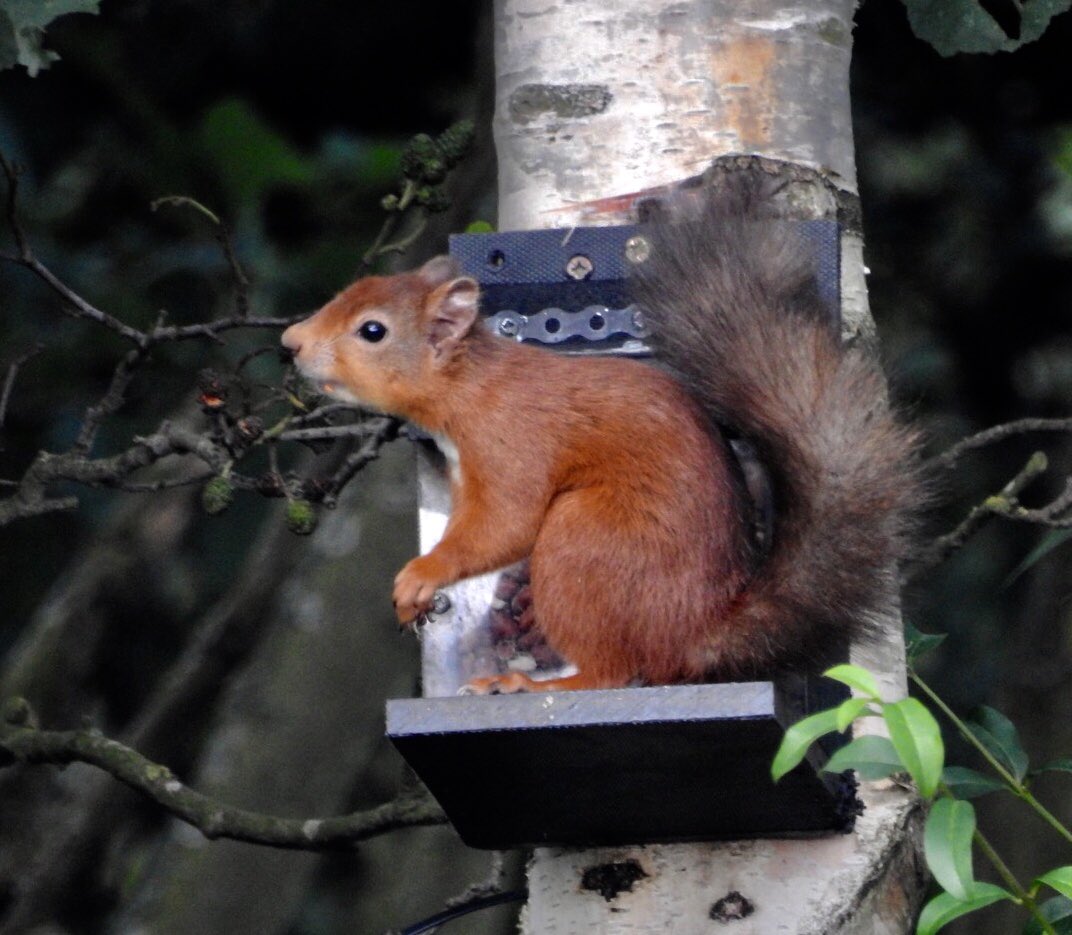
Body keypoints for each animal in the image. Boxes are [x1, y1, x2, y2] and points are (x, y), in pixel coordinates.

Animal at [283, 171, 921, 690]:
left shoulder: (512, 440)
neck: (468, 390)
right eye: (344, 294)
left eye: (372, 331)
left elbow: (505, 524)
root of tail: (695, 633)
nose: (290, 342)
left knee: (611, 672)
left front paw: (421, 575)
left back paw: (527, 685)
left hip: (585, 543)